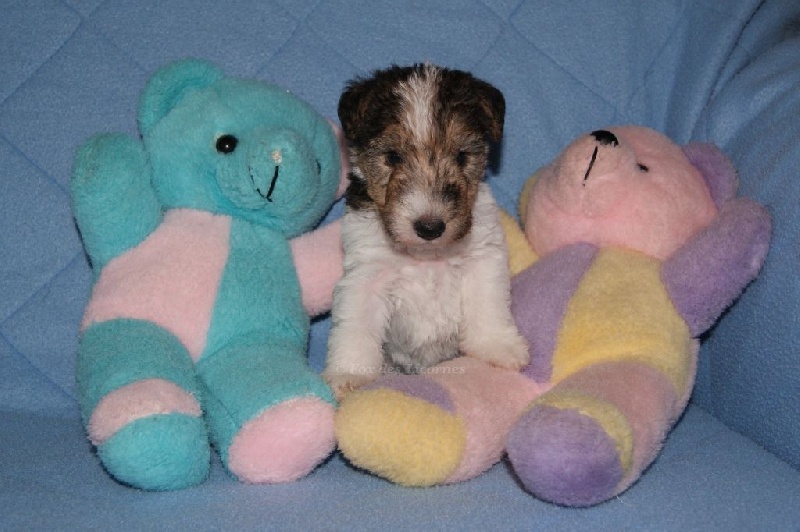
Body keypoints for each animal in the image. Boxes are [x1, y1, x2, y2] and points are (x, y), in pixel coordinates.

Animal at [323, 63, 529, 399]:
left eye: (462, 156)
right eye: (392, 156)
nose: (430, 227)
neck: (425, 255)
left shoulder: (482, 259)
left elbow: (489, 306)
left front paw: (498, 348)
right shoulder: (366, 274)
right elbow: (356, 325)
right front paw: (349, 373)